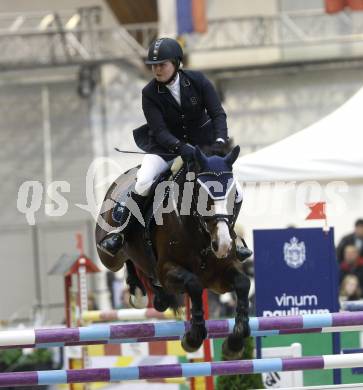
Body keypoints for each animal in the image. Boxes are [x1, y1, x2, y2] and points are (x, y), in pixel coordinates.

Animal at [95, 146, 252, 360]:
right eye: (203, 194)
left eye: (233, 195)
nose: (223, 244)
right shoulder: (168, 270)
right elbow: (194, 284)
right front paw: (193, 337)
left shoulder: (218, 277)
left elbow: (243, 283)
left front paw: (235, 342)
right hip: (109, 258)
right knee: (124, 257)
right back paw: (137, 290)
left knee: (143, 267)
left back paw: (158, 298)